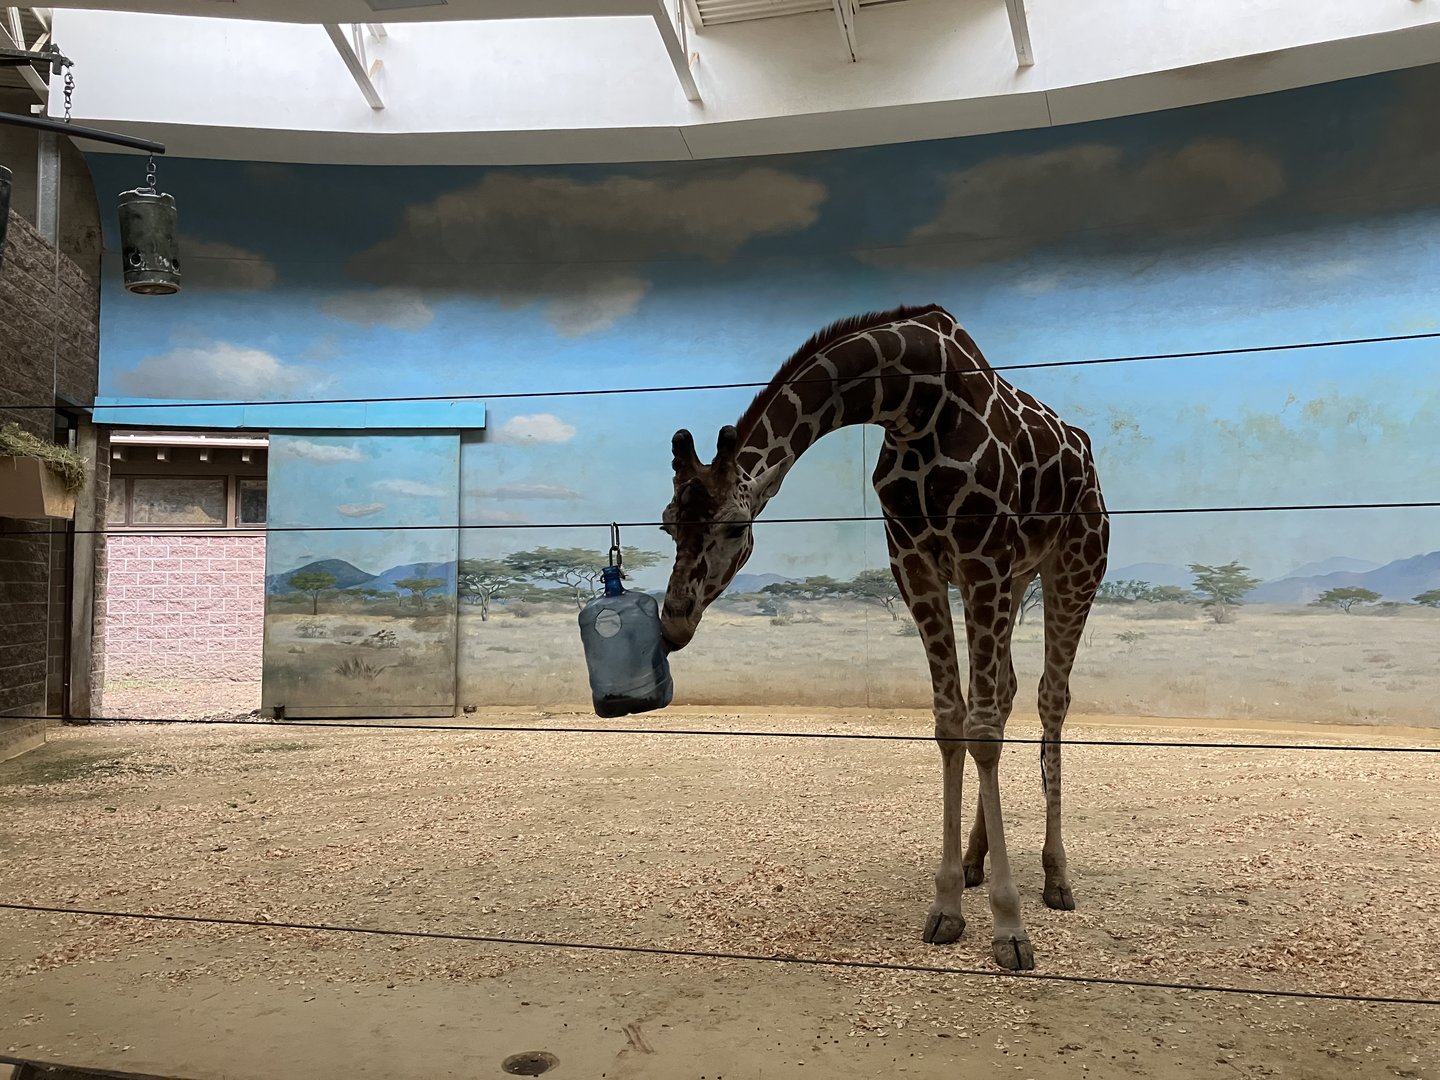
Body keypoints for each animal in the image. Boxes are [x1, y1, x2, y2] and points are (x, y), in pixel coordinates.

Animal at [659, 304, 1109, 970]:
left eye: (736, 526)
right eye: (667, 524)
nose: (673, 621)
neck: (910, 403)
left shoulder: (981, 552)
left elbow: (982, 732)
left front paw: (1009, 928)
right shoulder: (915, 560)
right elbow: (953, 724)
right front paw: (948, 905)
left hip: (1074, 564)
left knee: (1052, 697)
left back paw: (1057, 877)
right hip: (1015, 574)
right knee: (1004, 691)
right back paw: (975, 860)